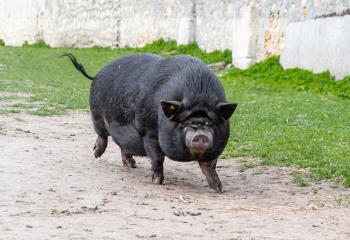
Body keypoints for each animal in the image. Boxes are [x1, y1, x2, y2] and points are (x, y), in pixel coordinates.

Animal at [63, 52, 238, 191]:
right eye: (183, 124)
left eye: (211, 124)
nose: (200, 135)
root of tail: (98, 73)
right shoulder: (149, 132)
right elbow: (157, 158)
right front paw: (158, 182)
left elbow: (209, 165)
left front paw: (219, 189)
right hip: (96, 113)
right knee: (102, 135)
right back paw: (96, 154)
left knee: (123, 146)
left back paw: (131, 165)